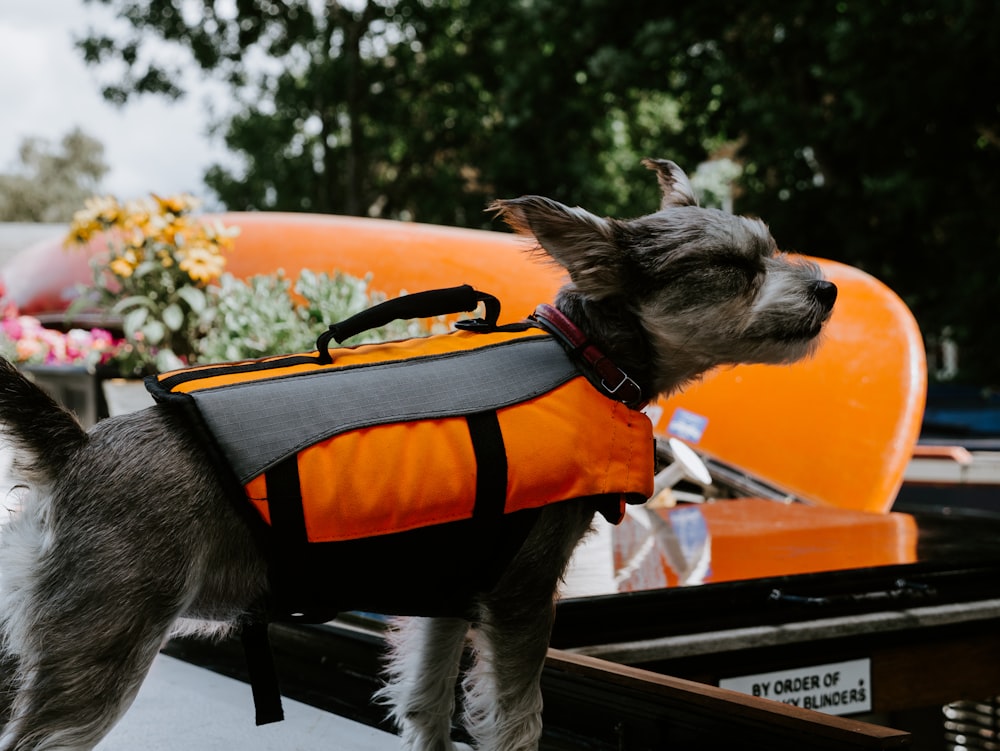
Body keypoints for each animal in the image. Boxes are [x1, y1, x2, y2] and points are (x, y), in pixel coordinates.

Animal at [0, 160, 836, 751]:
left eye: (771, 248)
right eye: (732, 268)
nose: (828, 288)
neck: (587, 356)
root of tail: (79, 445)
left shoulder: (450, 596)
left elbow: (428, 702)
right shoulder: (522, 597)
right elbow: (516, 720)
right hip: (98, 653)